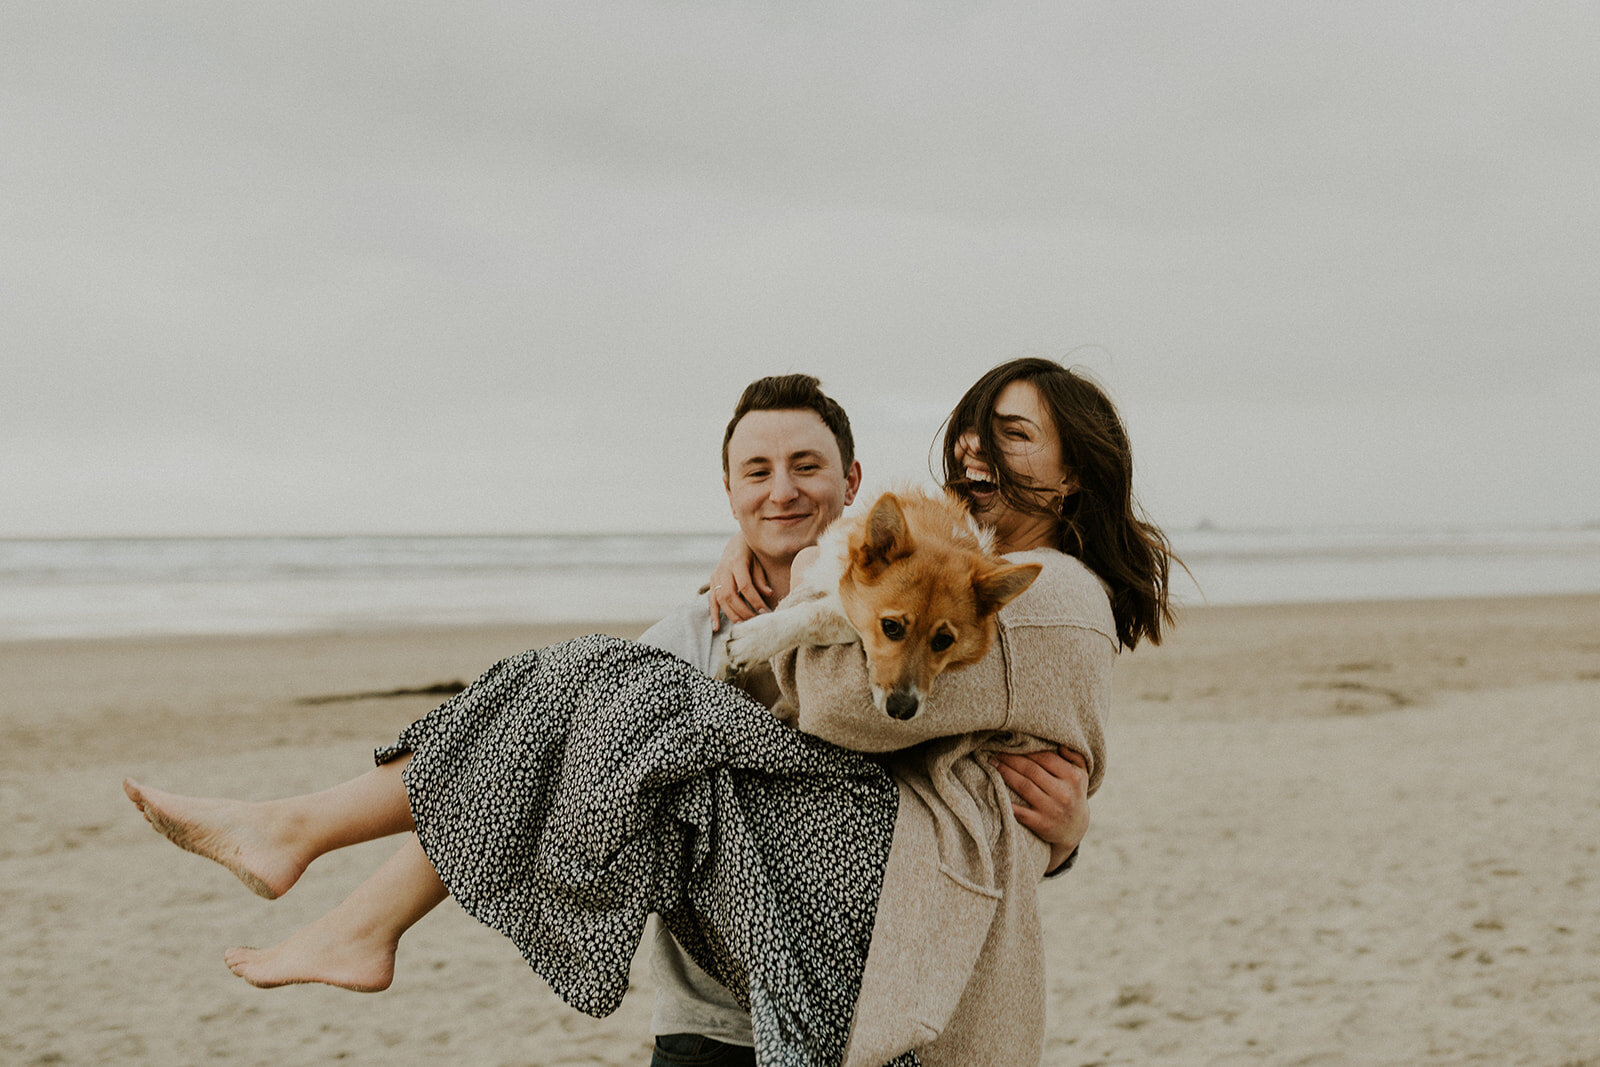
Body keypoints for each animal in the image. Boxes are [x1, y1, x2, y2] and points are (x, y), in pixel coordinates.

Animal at [716, 489, 1043, 723]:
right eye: (891, 627)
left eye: (943, 641)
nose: (902, 709)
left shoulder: (849, 612)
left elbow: (816, 616)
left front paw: (754, 640)